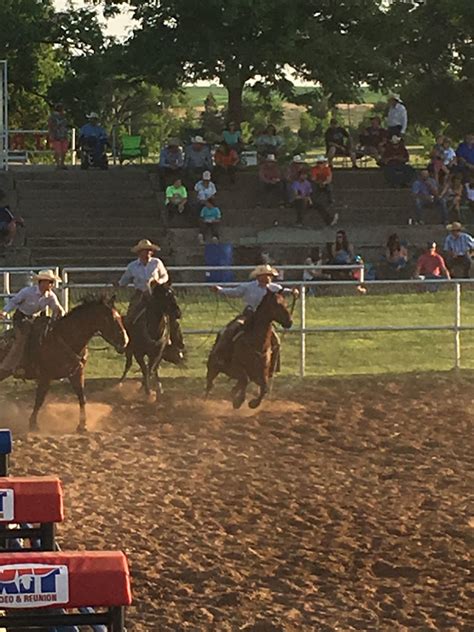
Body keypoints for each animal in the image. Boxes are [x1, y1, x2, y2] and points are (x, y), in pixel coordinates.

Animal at [0, 294, 130, 432]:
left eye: (119, 317)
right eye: (110, 319)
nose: (125, 341)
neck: (66, 338)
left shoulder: (76, 374)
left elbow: (82, 398)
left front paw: (82, 425)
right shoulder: (45, 376)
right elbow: (39, 399)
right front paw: (33, 424)